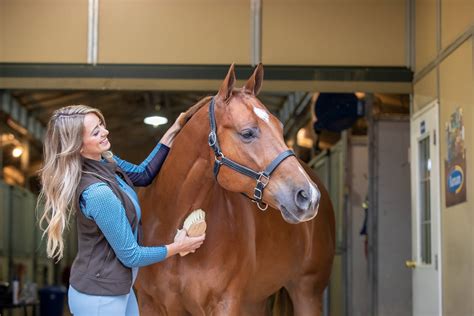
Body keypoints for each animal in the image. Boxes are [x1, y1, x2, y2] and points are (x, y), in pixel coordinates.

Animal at [135, 64, 336, 316]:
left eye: (280, 128)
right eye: (247, 133)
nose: (308, 196)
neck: (171, 222)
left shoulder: (225, 303)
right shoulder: (148, 303)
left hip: (307, 292)